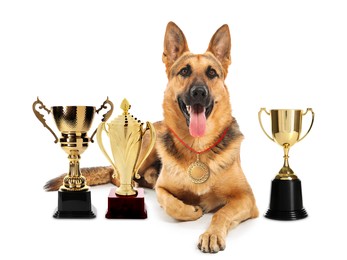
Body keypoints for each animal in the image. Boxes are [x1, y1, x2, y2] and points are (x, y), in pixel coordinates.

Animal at [45, 21, 258, 253]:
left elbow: (221, 213)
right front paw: (191, 210)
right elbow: (170, 203)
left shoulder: (247, 198)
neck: (198, 148)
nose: (199, 92)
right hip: (146, 149)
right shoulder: (163, 189)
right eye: (185, 71)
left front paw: (211, 234)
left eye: (212, 73)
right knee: (117, 175)